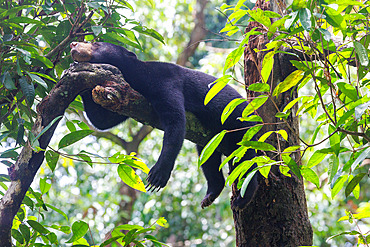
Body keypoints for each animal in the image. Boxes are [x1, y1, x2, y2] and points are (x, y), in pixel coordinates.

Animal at [71, 41, 258, 209]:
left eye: (96, 44)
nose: (73, 44)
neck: (138, 76)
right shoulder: (125, 96)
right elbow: (103, 120)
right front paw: (81, 78)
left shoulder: (165, 81)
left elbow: (175, 121)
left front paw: (157, 175)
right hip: (212, 138)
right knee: (208, 157)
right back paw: (210, 195)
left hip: (242, 125)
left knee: (247, 159)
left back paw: (243, 198)